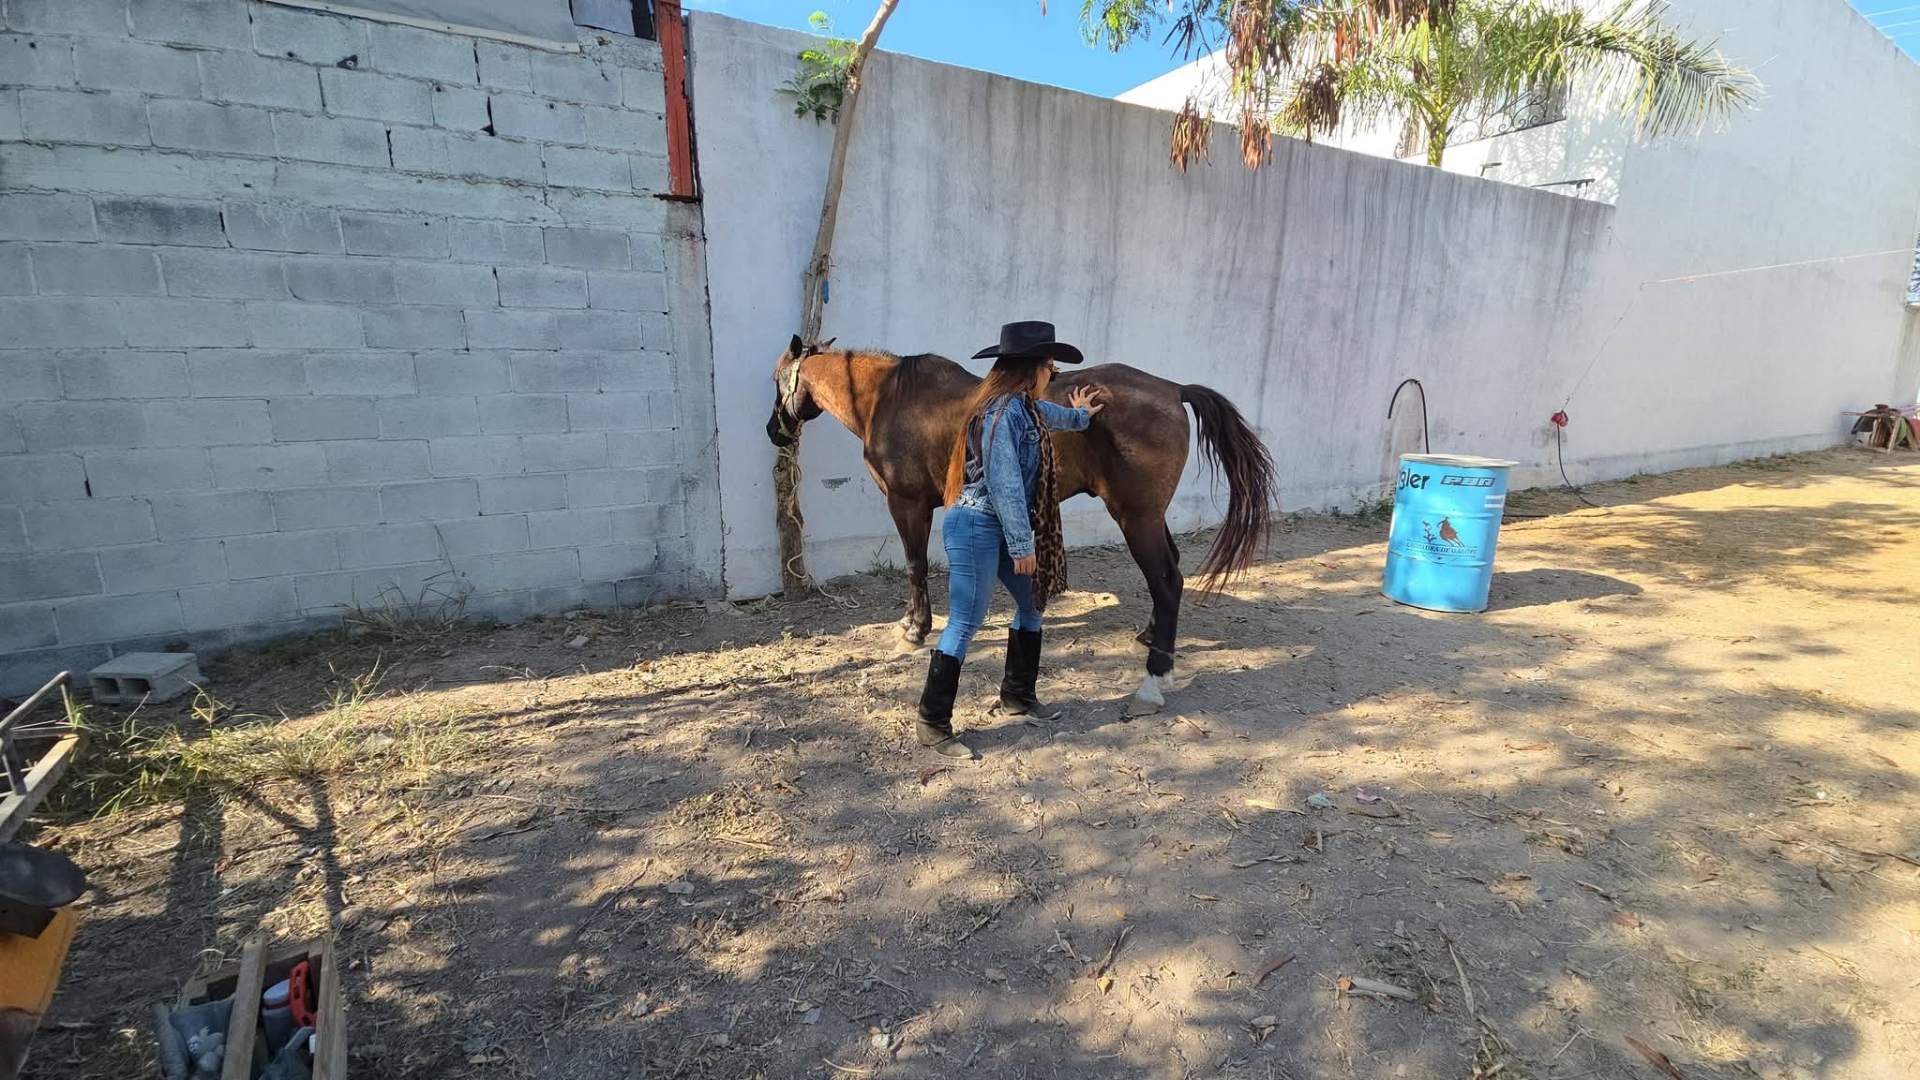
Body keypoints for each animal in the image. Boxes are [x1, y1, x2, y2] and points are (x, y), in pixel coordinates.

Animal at [766, 335, 1276, 708]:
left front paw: (915, 628)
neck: (888, 399)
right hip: (1148, 516)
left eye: (777, 378)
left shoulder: (907, 505)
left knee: (1167, 580)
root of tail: (1173, 389)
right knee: (1170, 573)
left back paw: (1155, 677)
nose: (774, 432)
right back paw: (1152, 638)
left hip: (1137, 517)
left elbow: (914, 566)